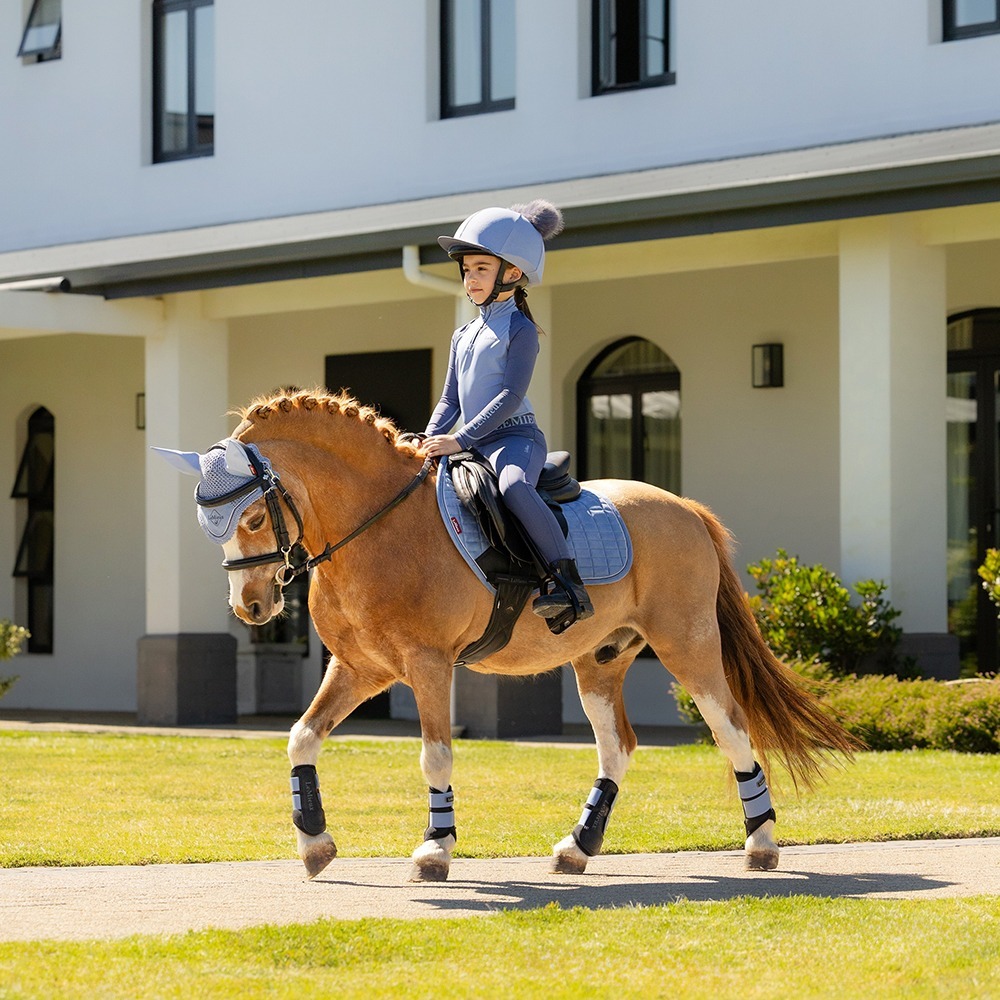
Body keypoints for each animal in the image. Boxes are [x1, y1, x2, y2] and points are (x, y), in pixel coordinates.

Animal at [160, 388, 857, 882]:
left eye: (253, 516)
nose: (251, 605)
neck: (376, 526)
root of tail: (684, 506)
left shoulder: (428, 664)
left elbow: (435, 754)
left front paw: (435, 851)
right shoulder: (360, 668)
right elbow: (302, 737)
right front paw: (315, 843)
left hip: (688, 646)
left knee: (731, 727)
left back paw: (761, 843)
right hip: (600, 661)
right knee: (618, 746)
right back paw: (578, 848)